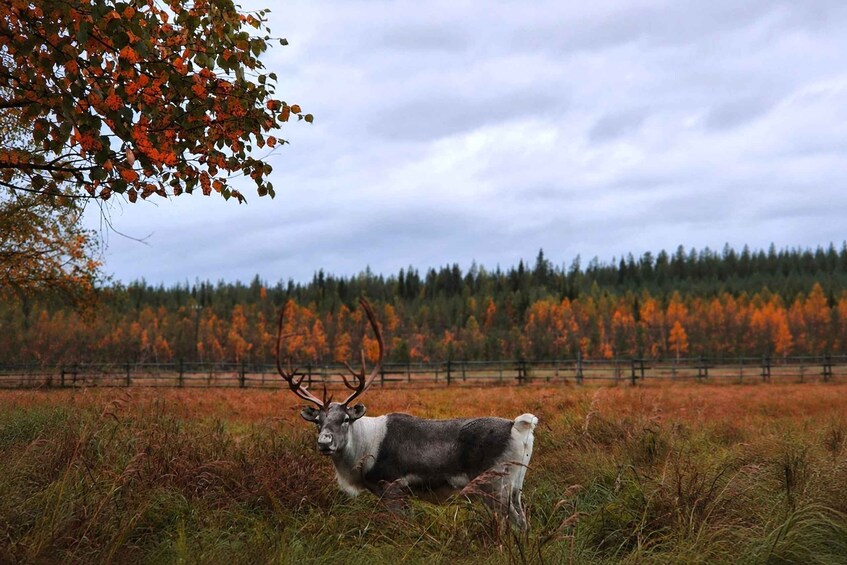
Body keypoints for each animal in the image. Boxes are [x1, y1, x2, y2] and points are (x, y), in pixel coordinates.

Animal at [276, 297, 538, 529]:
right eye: (317, 421)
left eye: (346, 419)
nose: (324, 442)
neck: (363, 452)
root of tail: (519, 426)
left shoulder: (391, 487)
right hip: (516, 486)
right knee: (524, 521)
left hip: (495, 486)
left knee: (514, 521)